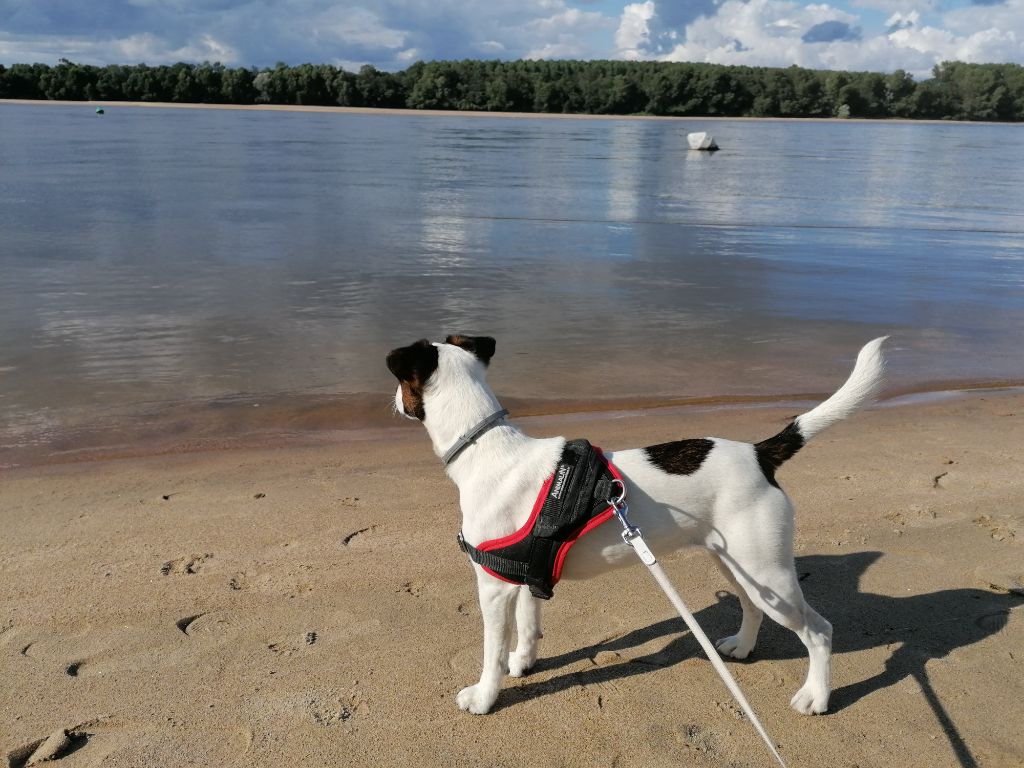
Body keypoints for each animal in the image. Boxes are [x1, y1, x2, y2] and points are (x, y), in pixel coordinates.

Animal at [387, 333, 884, 720]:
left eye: (400, 383)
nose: (392, 402)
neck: (485, 448)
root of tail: (759, 453)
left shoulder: (492, 586)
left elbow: (491, 652)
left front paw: (484, 697)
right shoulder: (524, 577)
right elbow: (527, 629)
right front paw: (524, 662)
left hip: (767, 572)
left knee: (819, 631)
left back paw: (816, 697)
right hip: (741, 567)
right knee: (752, 606)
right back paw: (742, 647)